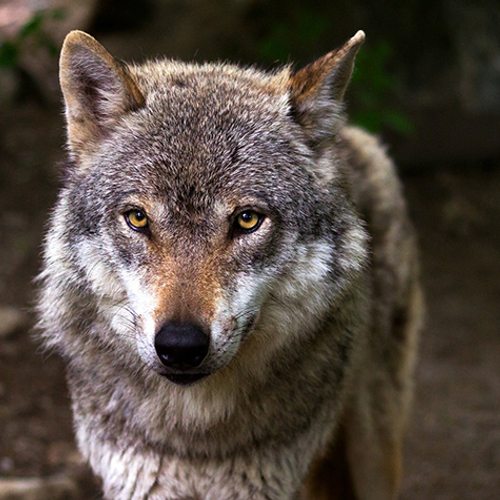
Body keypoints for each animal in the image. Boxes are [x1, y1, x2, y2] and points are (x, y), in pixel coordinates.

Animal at [37, 30, 424, 500]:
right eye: (138, 218)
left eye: (247, 219)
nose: (180, 345)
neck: (197, 440)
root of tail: (348, 134)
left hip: (374, 450)